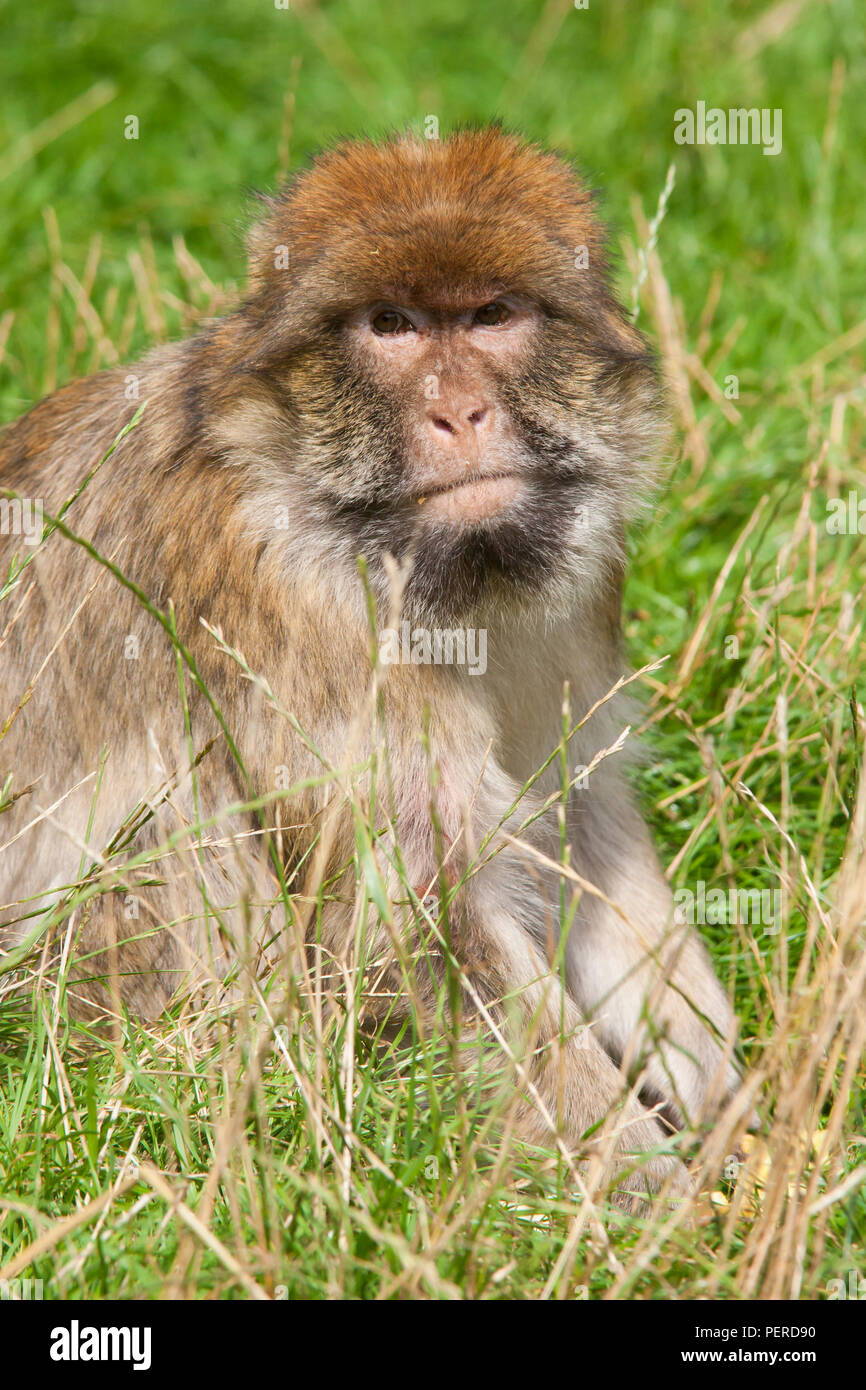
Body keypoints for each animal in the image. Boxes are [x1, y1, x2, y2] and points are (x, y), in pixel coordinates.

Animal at [0, 127, 747, 1212]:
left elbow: (585, 825)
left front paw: (735, 1112)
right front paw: (662, 1210)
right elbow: (416, 932)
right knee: (183, 831)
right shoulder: (296, 611)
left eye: (492, 314)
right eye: (390, 325)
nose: (459, 413)